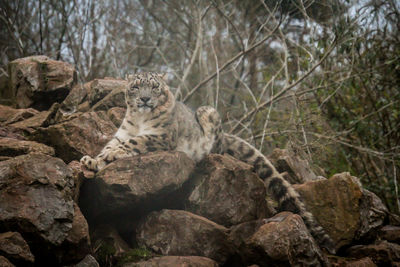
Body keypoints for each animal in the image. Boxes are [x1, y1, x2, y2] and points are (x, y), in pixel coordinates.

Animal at [79, 72, 336, 254]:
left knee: (216, 146)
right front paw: (91, 161)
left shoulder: (159, 137)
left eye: (154, 86)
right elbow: (111, 146)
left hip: (208, 114)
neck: (140, 120)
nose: (144, 98)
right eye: (135, 86)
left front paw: (105, 157)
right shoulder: (121, 134)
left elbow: (131, 144)